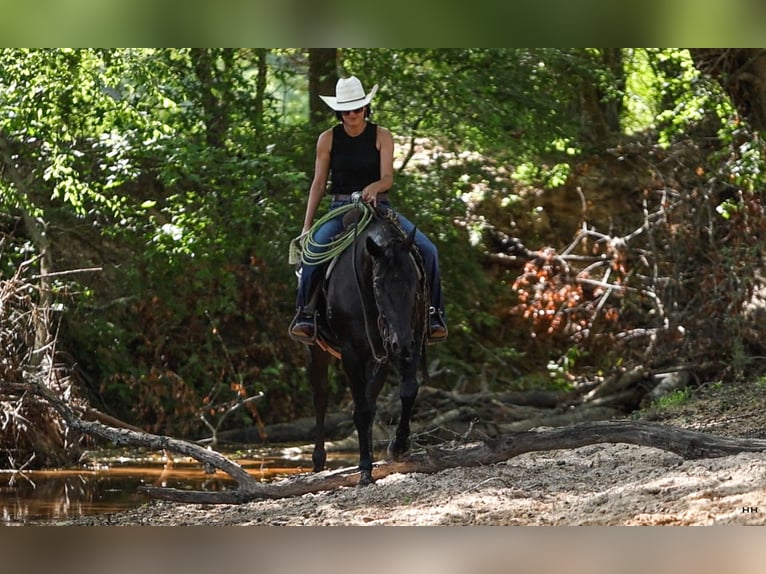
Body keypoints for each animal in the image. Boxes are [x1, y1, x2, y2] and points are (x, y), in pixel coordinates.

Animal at [308, 207, 426, 486]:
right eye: (378, 285)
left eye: (414, 282)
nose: (400, 343)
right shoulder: (351, 352)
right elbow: (360, 409)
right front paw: (364, 469)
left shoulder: (406, 340)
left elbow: (407, 390)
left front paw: (398, 446)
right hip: (317, 349)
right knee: (320, 395)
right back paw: (318, 461)